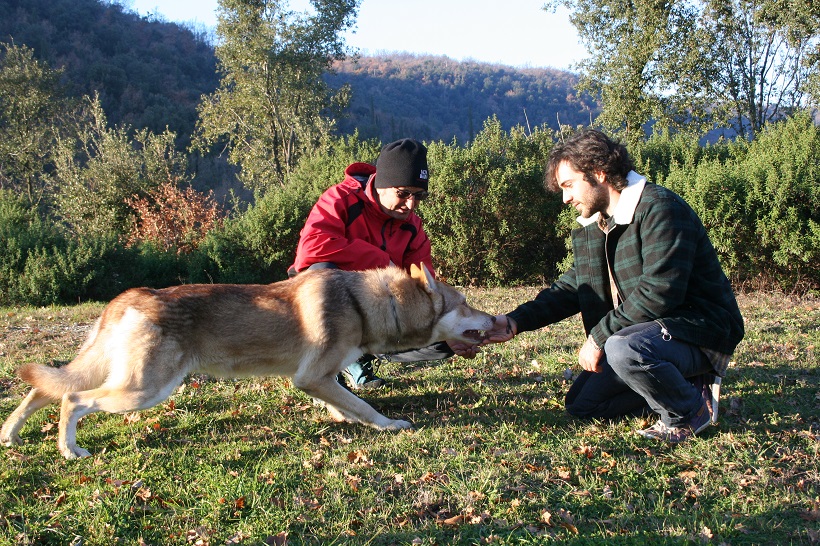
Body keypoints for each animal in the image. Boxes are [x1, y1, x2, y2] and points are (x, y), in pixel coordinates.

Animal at [0, 262, 494, 454]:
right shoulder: (311, 377)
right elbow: (365, 405)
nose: (495, 319)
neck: (367, 304)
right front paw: (390, 425)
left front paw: (344, 419)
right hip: (144, 391)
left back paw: (11, 436)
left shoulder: (320, 379)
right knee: (71, 401)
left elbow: (345, 403)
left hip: (115, 376)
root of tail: (130, 296)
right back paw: (70, 450)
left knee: (42, 390)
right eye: (466, 303)